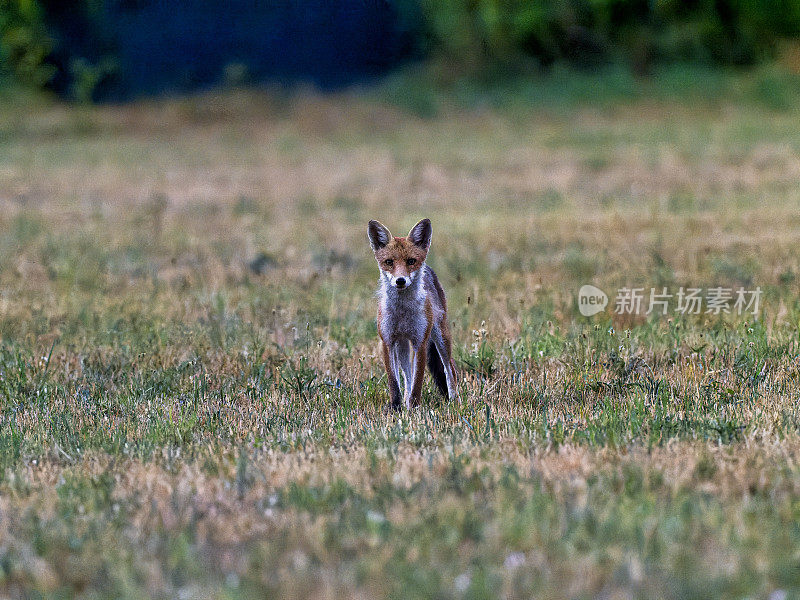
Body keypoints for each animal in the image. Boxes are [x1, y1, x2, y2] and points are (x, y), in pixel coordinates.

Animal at [368, 218, 456, 410]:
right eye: (389, 262)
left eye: (411, 261)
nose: (400, 280)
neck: (402, 312)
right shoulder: (387, 341)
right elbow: (395, 382)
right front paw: (396, 407)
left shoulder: (420, 342)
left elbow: (418, 382)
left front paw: (415, 408)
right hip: (402, 345)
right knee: (407, 376)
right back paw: (406, 401)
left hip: (441, 337)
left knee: (450, 370)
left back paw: (455, 400)